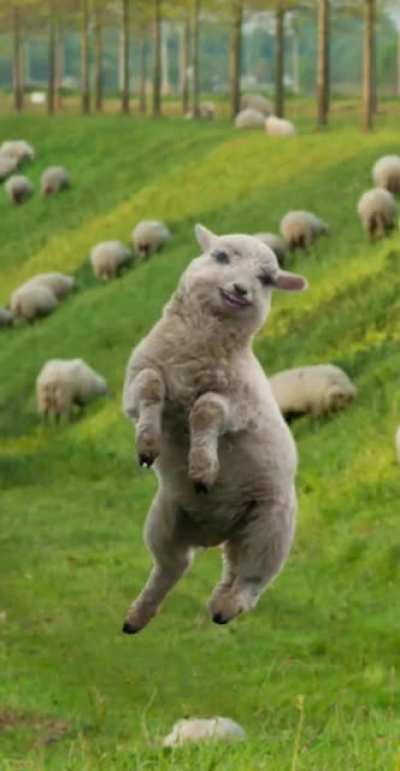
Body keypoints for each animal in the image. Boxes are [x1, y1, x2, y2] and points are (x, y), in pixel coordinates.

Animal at [121, 223, 307, 634]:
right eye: (220, 256)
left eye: (266, 279)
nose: (241, 290)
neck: (195, 349)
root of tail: (214, 533)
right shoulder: (137, 382)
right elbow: (151, 388)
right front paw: (148, 444)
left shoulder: (239, 406)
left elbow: (205, 411)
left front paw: (204, 467)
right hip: (165, 521)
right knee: (172, 567)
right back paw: (138, 615)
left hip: (271, 527)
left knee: (251, 576)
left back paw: (227, 606)